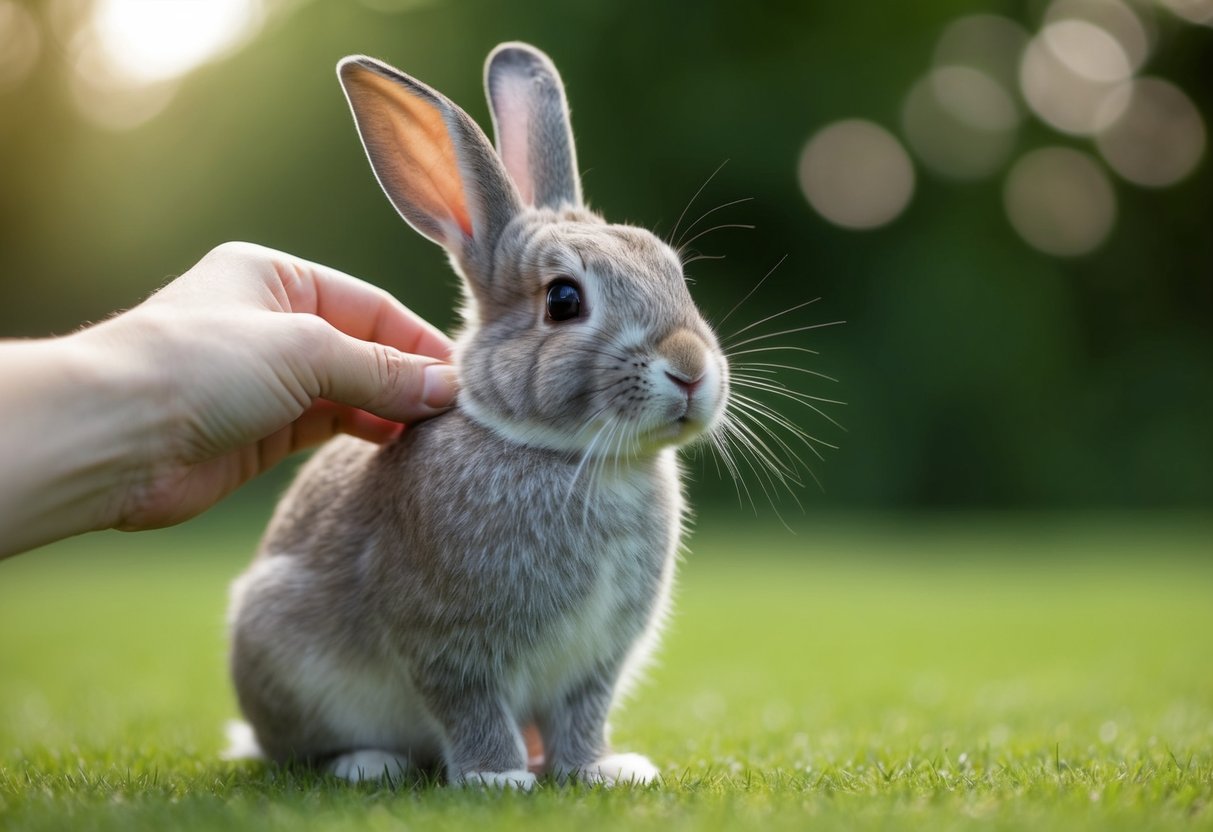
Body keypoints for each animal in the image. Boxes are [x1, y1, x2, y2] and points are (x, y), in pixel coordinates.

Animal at [227, 42, 729, 789]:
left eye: (674, 272)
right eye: (563, 300)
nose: (691, 369)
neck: (568, 453)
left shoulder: (595, 662)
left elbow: (584, 713)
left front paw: (597, 769)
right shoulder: (449, 644)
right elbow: (471, 706)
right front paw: (498, 777)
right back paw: (367, 763)